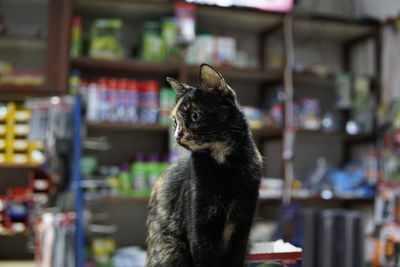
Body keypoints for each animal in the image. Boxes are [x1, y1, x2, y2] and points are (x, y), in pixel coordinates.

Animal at [146, 63, 262, 266]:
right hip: (170, 249)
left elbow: (236, 256)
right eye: (175, 121)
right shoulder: (200, 227)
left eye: (195, 116)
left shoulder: (242, 226)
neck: (224, 166)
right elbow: (203, 257)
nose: (177, 135)